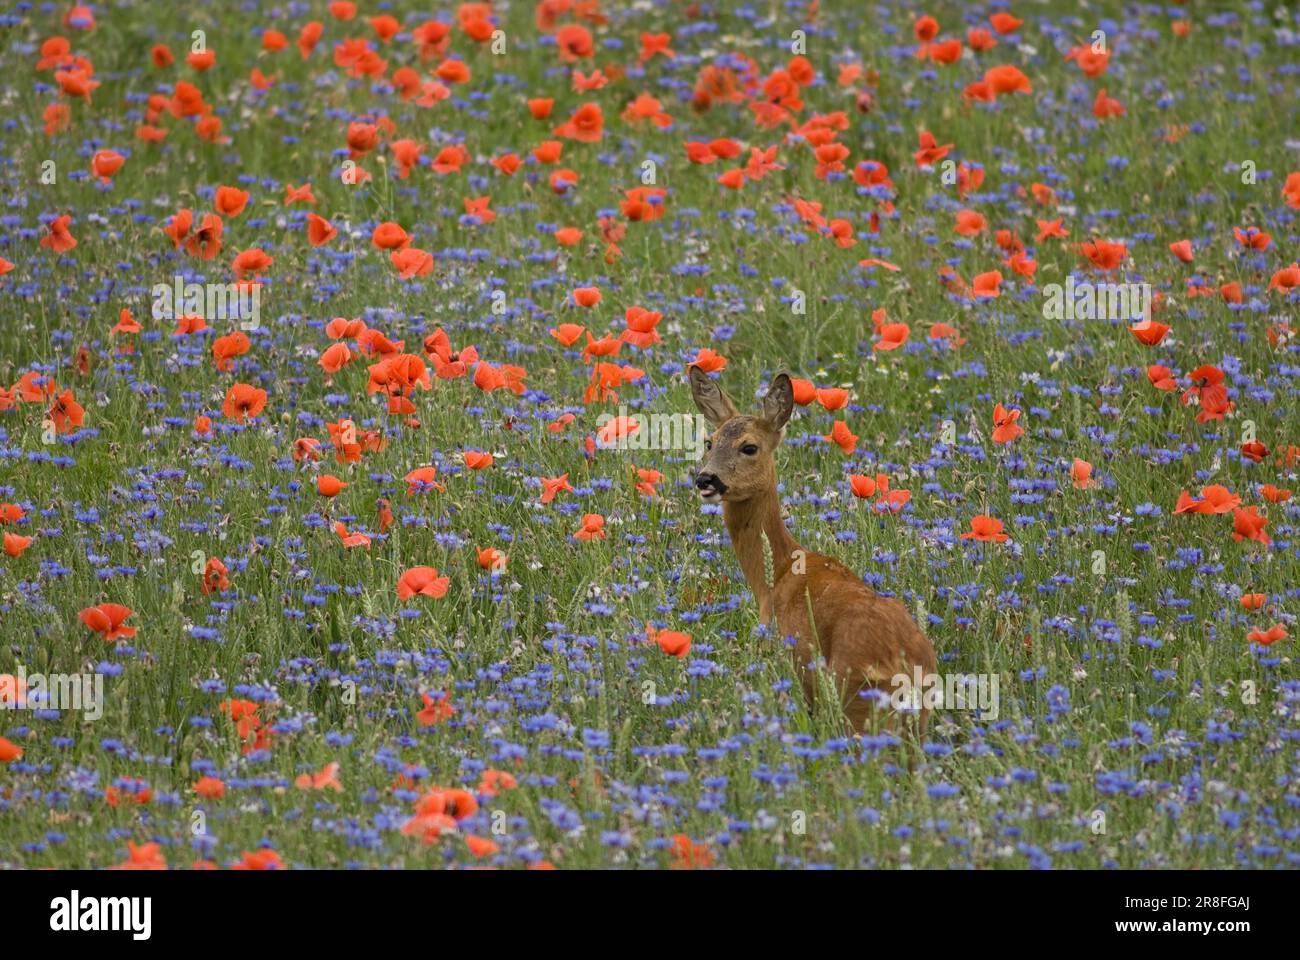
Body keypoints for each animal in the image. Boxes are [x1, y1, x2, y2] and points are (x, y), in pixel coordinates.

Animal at [688, 366, 938, 738]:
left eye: (749, 446)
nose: (706, 479)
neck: (776, 575)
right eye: (709, 442)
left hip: (853, 698)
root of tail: (904, 663)